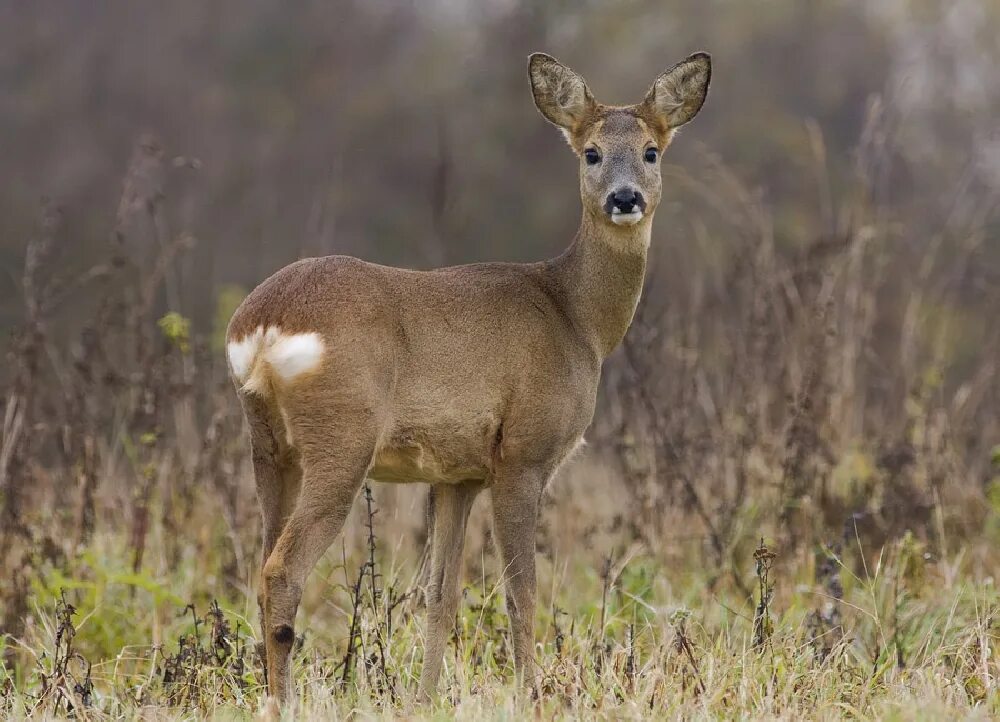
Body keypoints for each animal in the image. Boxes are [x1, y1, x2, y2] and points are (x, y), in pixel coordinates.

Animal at [227, 47, 712, 700]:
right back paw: (284, 701)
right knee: (282, 569)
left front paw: (425, 696)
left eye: (652, 150)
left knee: (261, 563)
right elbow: (521, 594)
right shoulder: (523, 454)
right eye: (590, 152)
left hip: (269, 448)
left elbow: (439, 595)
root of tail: (264, 325)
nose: (626, 198)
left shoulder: (455, 475)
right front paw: (531, 694)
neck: (575, 316)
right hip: (342, 438)